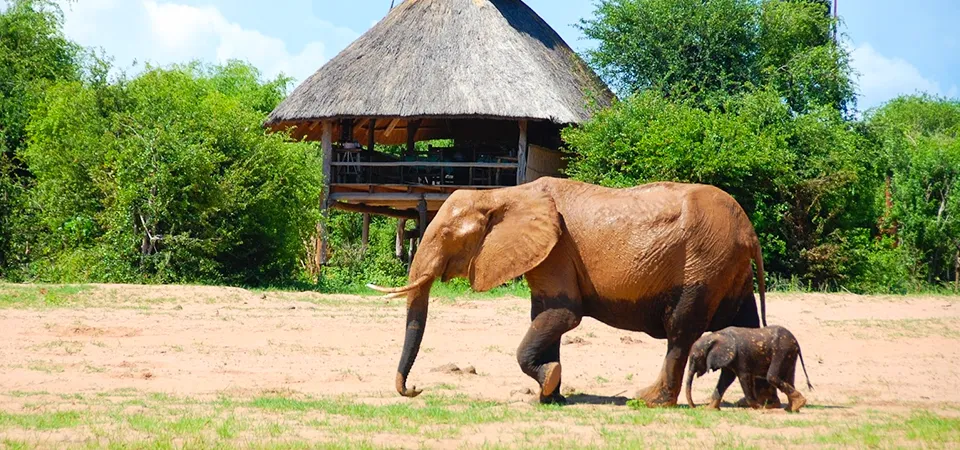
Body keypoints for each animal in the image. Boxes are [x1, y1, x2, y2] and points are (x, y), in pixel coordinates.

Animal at [368, 177, 772, 408]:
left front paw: (548, 386)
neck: (503, 194)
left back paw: (651, 402)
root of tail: (749, 231)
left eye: (447, 235)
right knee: (745, 327)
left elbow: (563, 316)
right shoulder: (547, 253)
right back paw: (759, 402)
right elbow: (547, 316)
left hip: (704, 264)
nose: (415, 389)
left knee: (681, 330)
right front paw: (553, 397)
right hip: (727, 268)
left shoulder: (557, 248)